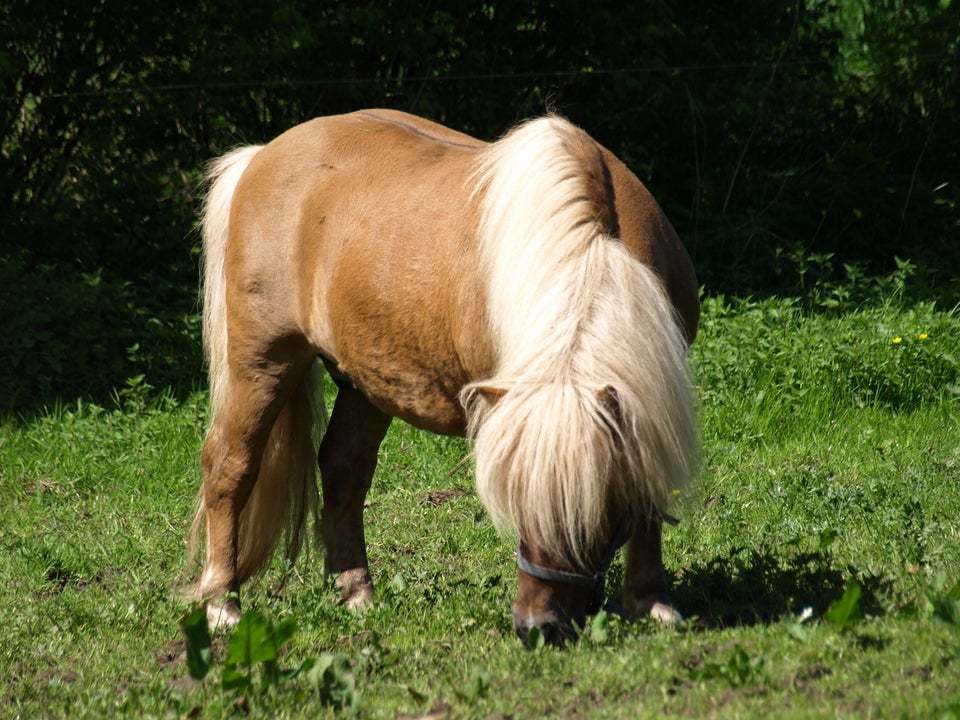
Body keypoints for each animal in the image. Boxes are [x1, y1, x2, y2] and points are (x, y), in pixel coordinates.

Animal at [188, 109, 696, 644]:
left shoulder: (651, 393)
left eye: (595, 508)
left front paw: (651, 603)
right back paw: (221, 603)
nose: (535, 626)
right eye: (515, 503)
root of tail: (259, 156)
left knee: (344, 468)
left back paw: (356, 593)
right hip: (263, 363)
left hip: (366, 383)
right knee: (230, 464)